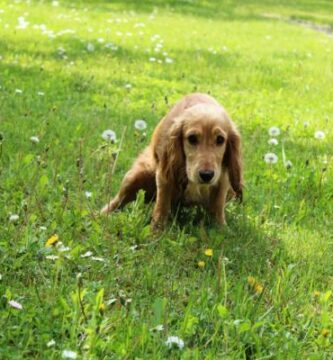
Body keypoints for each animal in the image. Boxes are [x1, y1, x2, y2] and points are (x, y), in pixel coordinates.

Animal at [100, 93, 243, 228]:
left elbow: (218, 206)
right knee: (117, 201)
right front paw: (156, 232)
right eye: (192, 138)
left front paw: (222, 230)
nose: (206, 175)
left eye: (220, 140)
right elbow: (162, 207)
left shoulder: (222, 177)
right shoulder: (165, 175)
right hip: (136, 176)